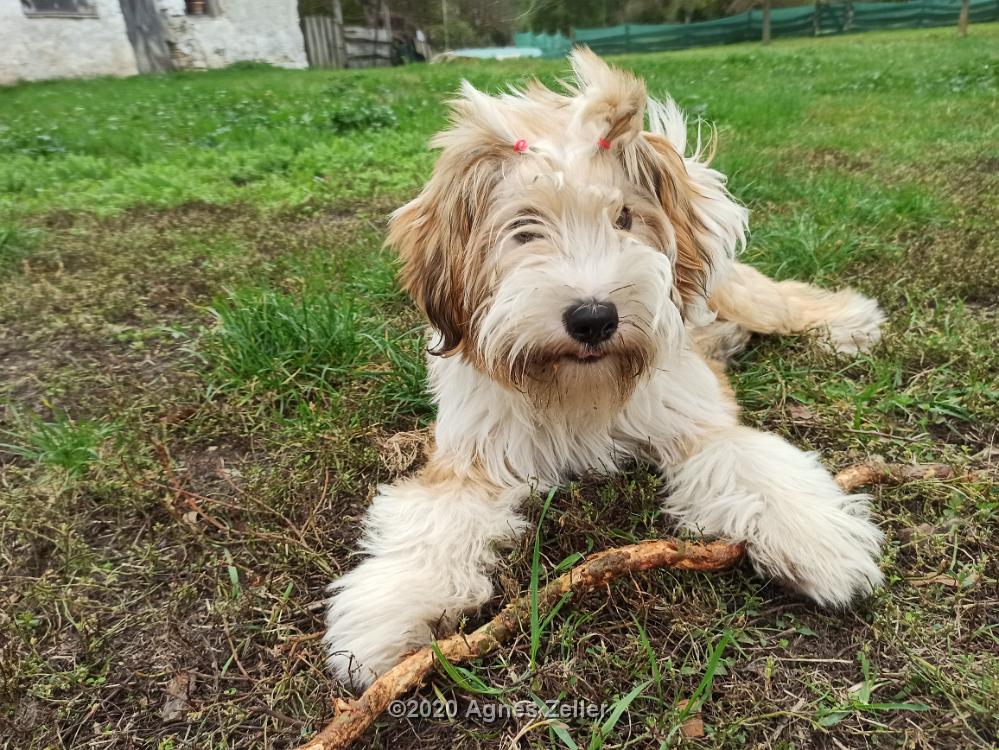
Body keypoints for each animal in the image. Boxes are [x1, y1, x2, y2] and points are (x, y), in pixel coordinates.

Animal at [324, 50, 888, 692]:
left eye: (624, 219)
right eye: (525, 227)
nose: (594, 317)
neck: (577, 384)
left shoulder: (696, 418)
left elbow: (754, 463)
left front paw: (819, 540)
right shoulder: (471, 453)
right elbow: (433, 522)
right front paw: (391, 608)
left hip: (744, 294)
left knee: (784, 301)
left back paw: (846, 322)